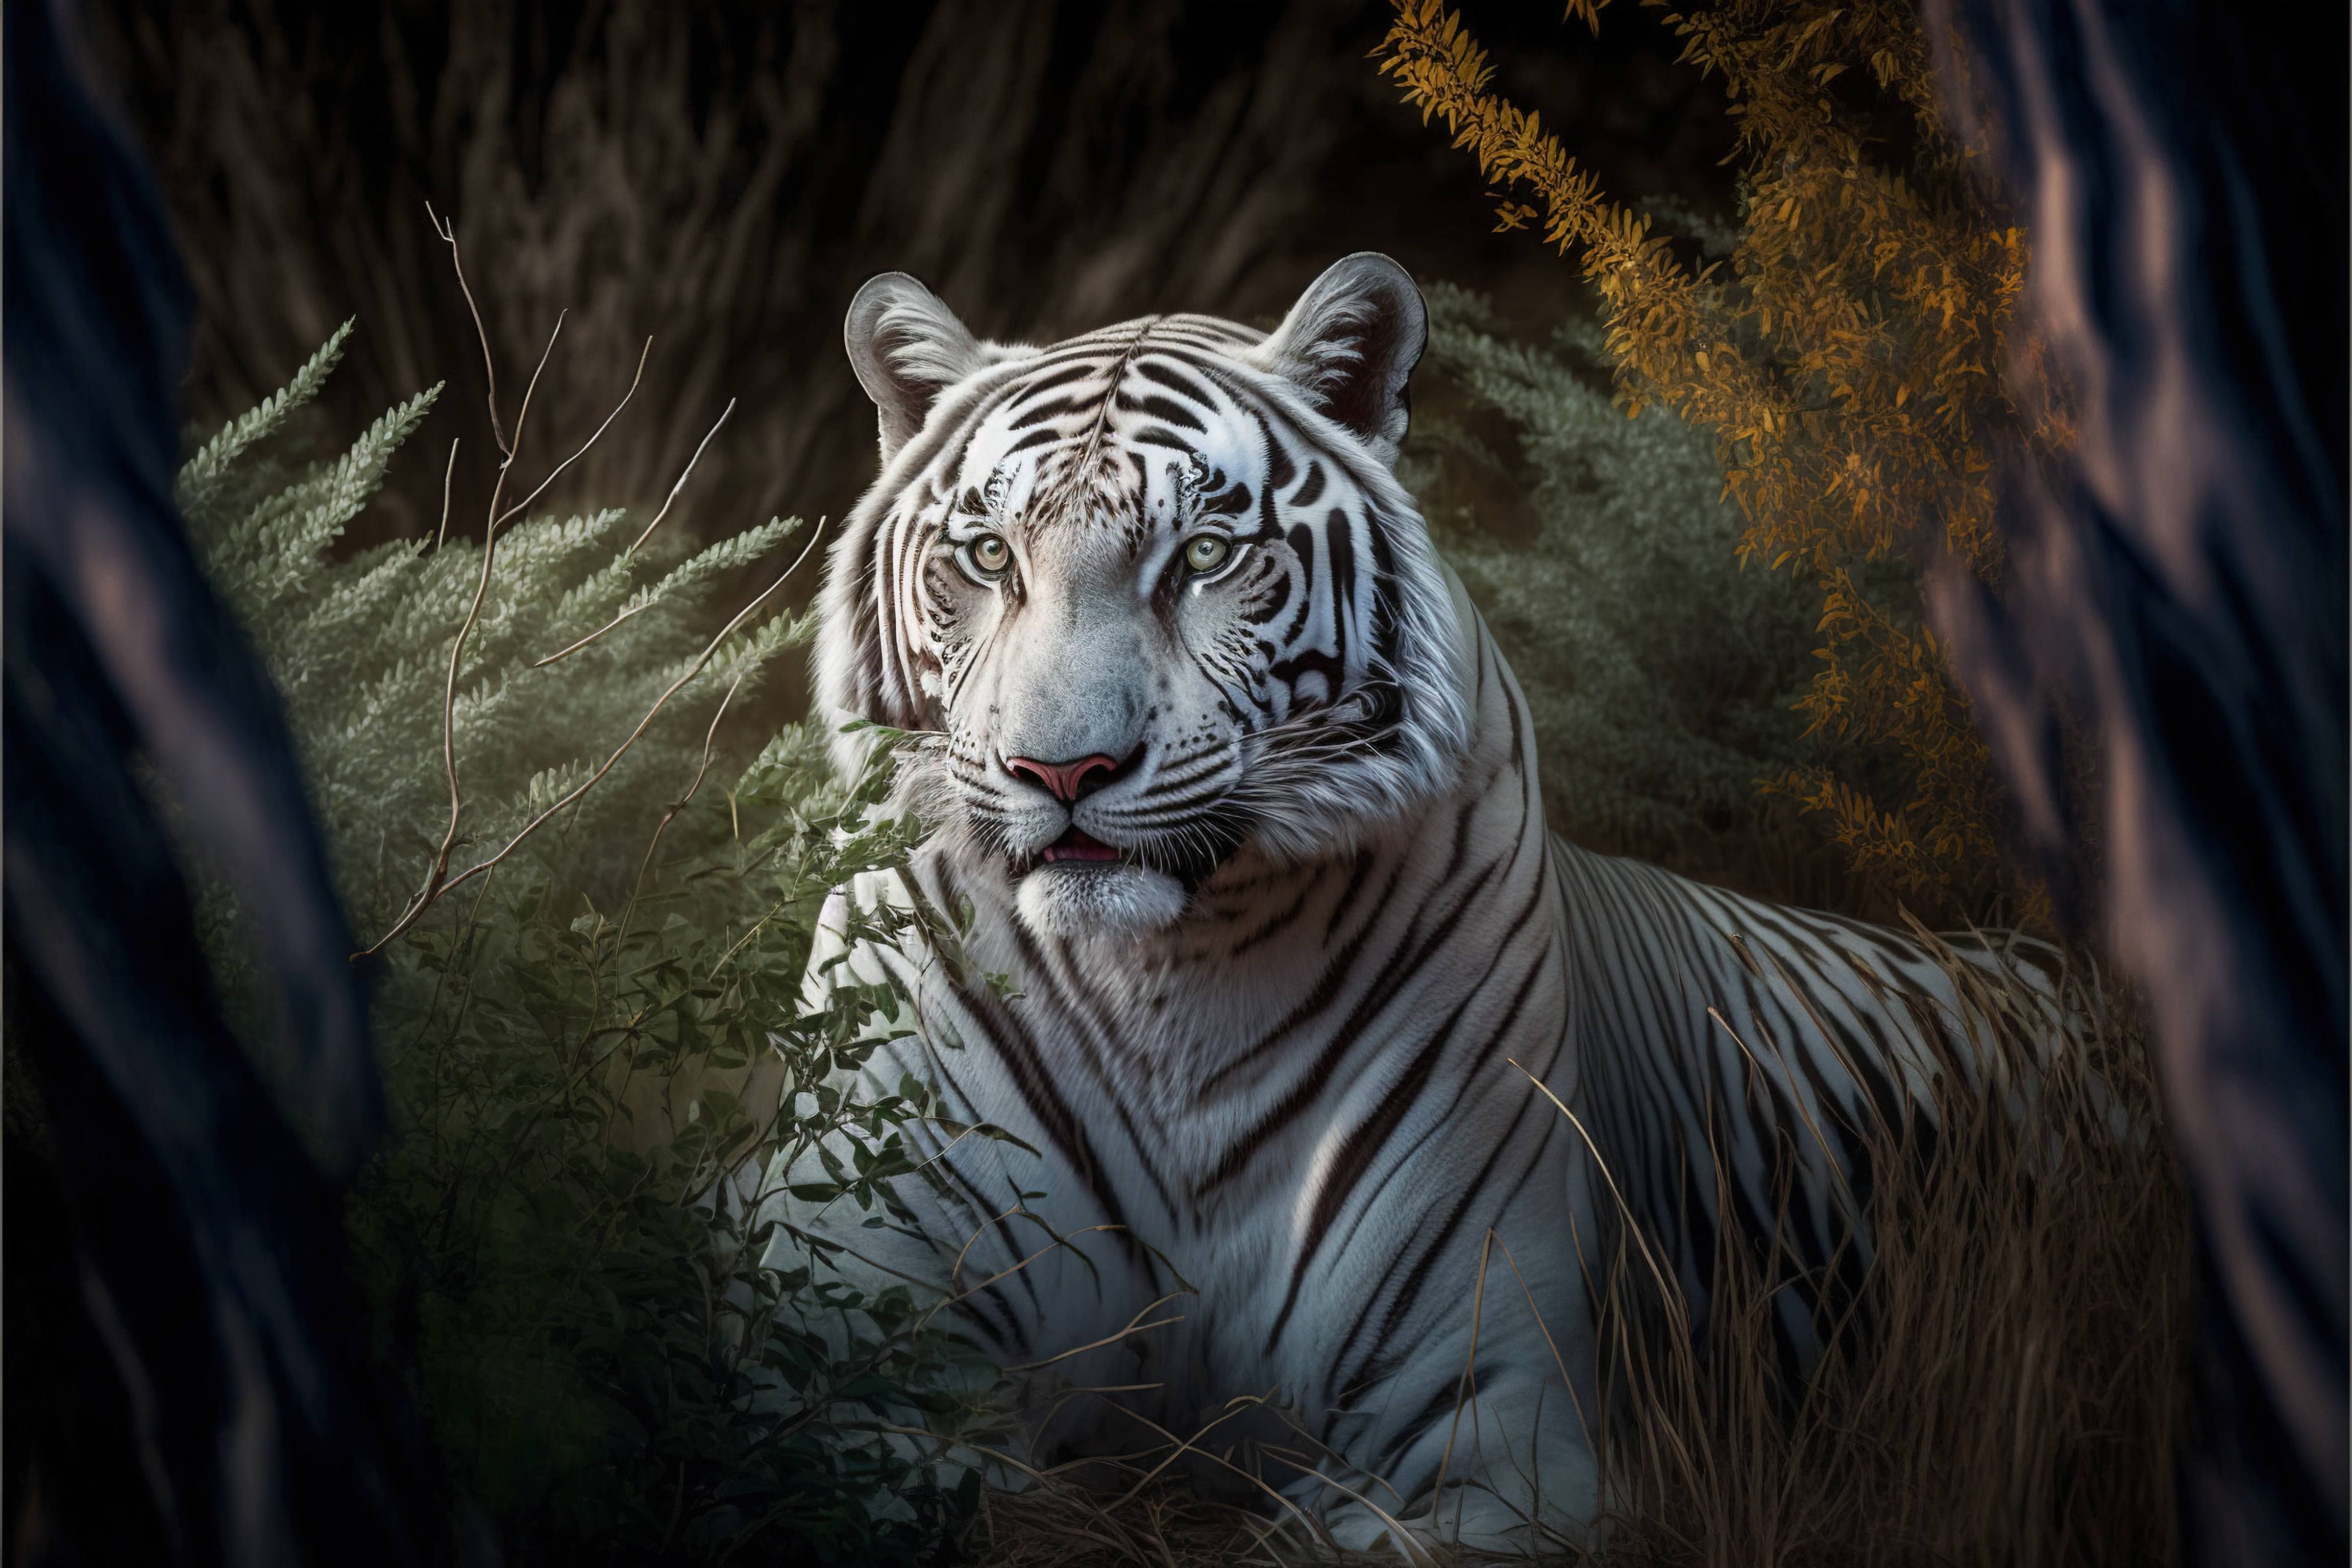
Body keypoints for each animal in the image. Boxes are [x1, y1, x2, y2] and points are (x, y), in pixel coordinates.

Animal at [765, 253, 2062, 1551]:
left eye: (1204, 556)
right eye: (990, 558)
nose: (1062, 770)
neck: (1158, 982)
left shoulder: (1490, 1430)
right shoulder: (834, 1333)